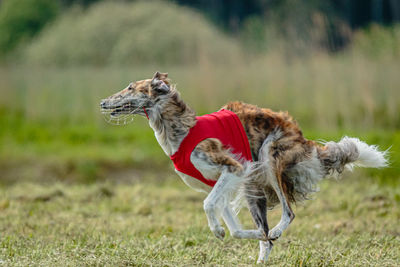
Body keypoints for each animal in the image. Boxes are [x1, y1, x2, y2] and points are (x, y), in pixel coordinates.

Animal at [99, 72, 388, 264]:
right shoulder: (223, 180)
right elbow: (235, 227)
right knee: (266, 231)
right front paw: (245, 233)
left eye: (130, 87)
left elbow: (209, 205)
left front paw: (218, 230)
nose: (102, 102)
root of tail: (303, 138)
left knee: (289, 212)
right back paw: (264, 247)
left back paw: (276, 231)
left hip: (269, 159)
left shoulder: (234, 168)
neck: (182, 131)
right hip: (252, 188)